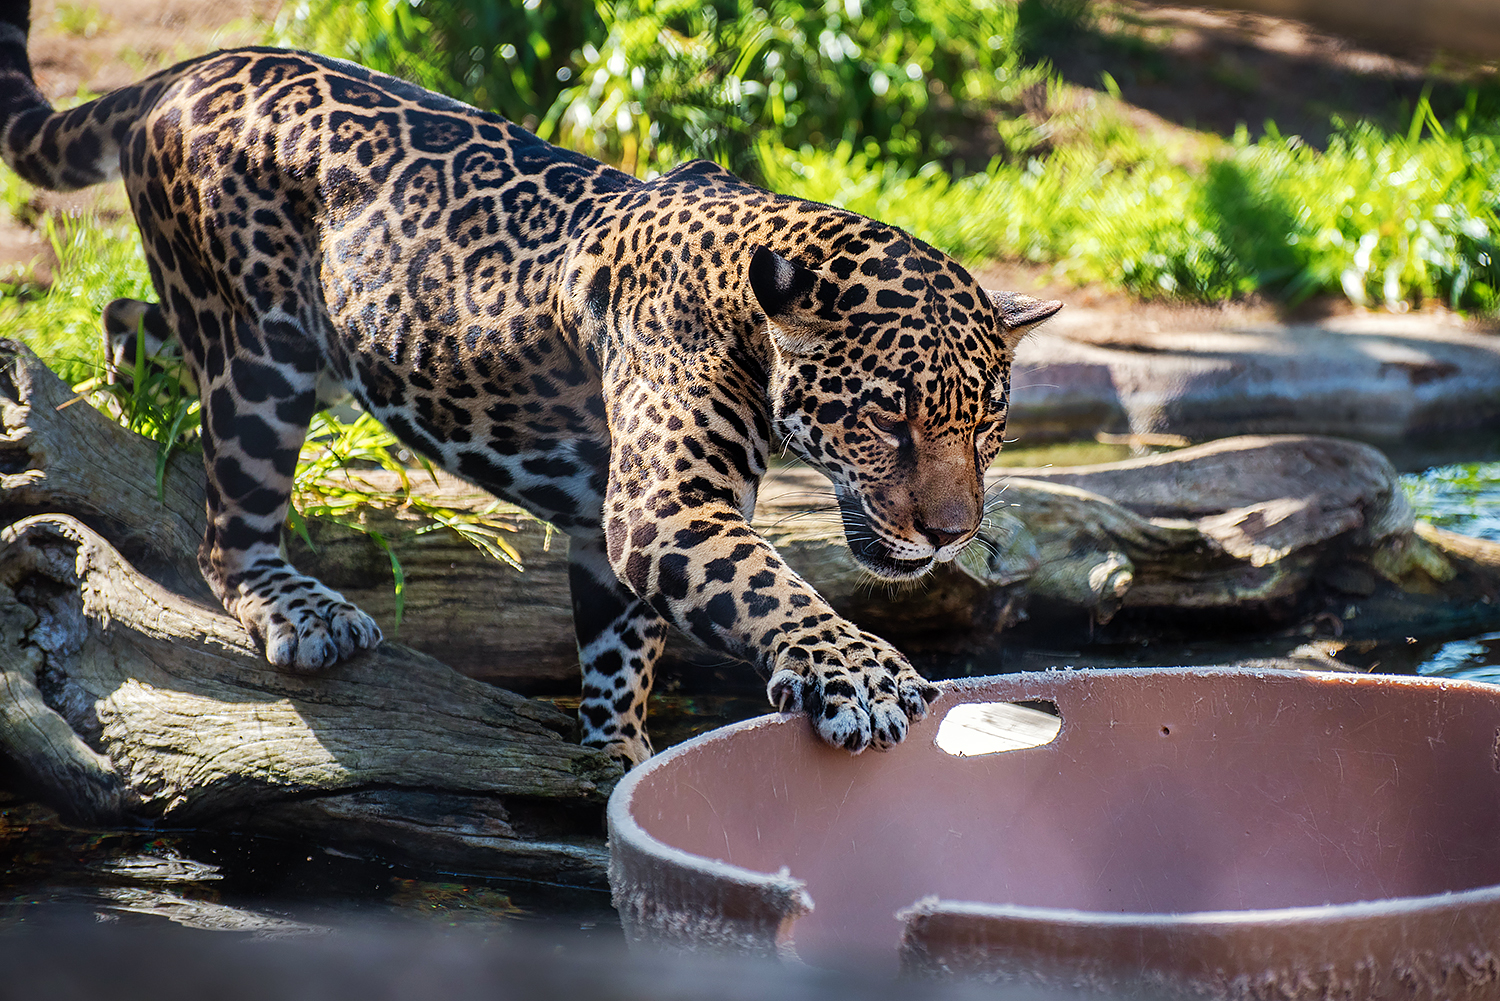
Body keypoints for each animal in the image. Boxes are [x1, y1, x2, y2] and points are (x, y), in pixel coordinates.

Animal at [0, 3, 1060, 765]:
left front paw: (616, 750)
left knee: (130, 316)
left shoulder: (606, 524)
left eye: (989, 429)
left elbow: (622, 651)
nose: (951, 535)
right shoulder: (668, 509)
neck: (744, 294)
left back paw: (125, 390)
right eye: (885, 419)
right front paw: (866, 678)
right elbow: (771, 586)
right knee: (230, 531)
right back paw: (300, 608)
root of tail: (198, 66)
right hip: (264, 356)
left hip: (279, 336)